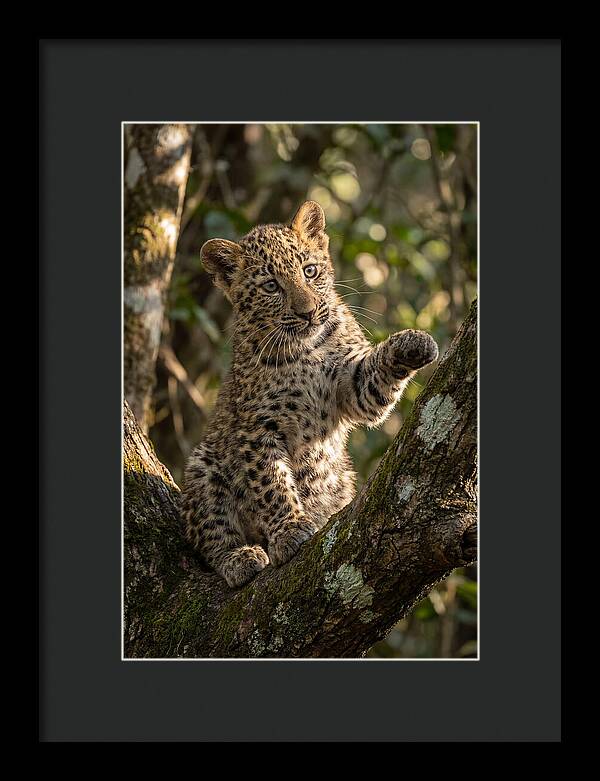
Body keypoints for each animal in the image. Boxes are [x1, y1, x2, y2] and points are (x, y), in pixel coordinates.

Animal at [181, 201, 439, 588]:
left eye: (310, 270)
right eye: (271, 286)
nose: (307, 312)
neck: (306, 351)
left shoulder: (352, 388)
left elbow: (373, 379)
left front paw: (413, 343)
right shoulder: (258, 428)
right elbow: (271, 483)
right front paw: (289, 530)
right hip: (204, 465)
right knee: (209, 536)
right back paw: (240, 558)